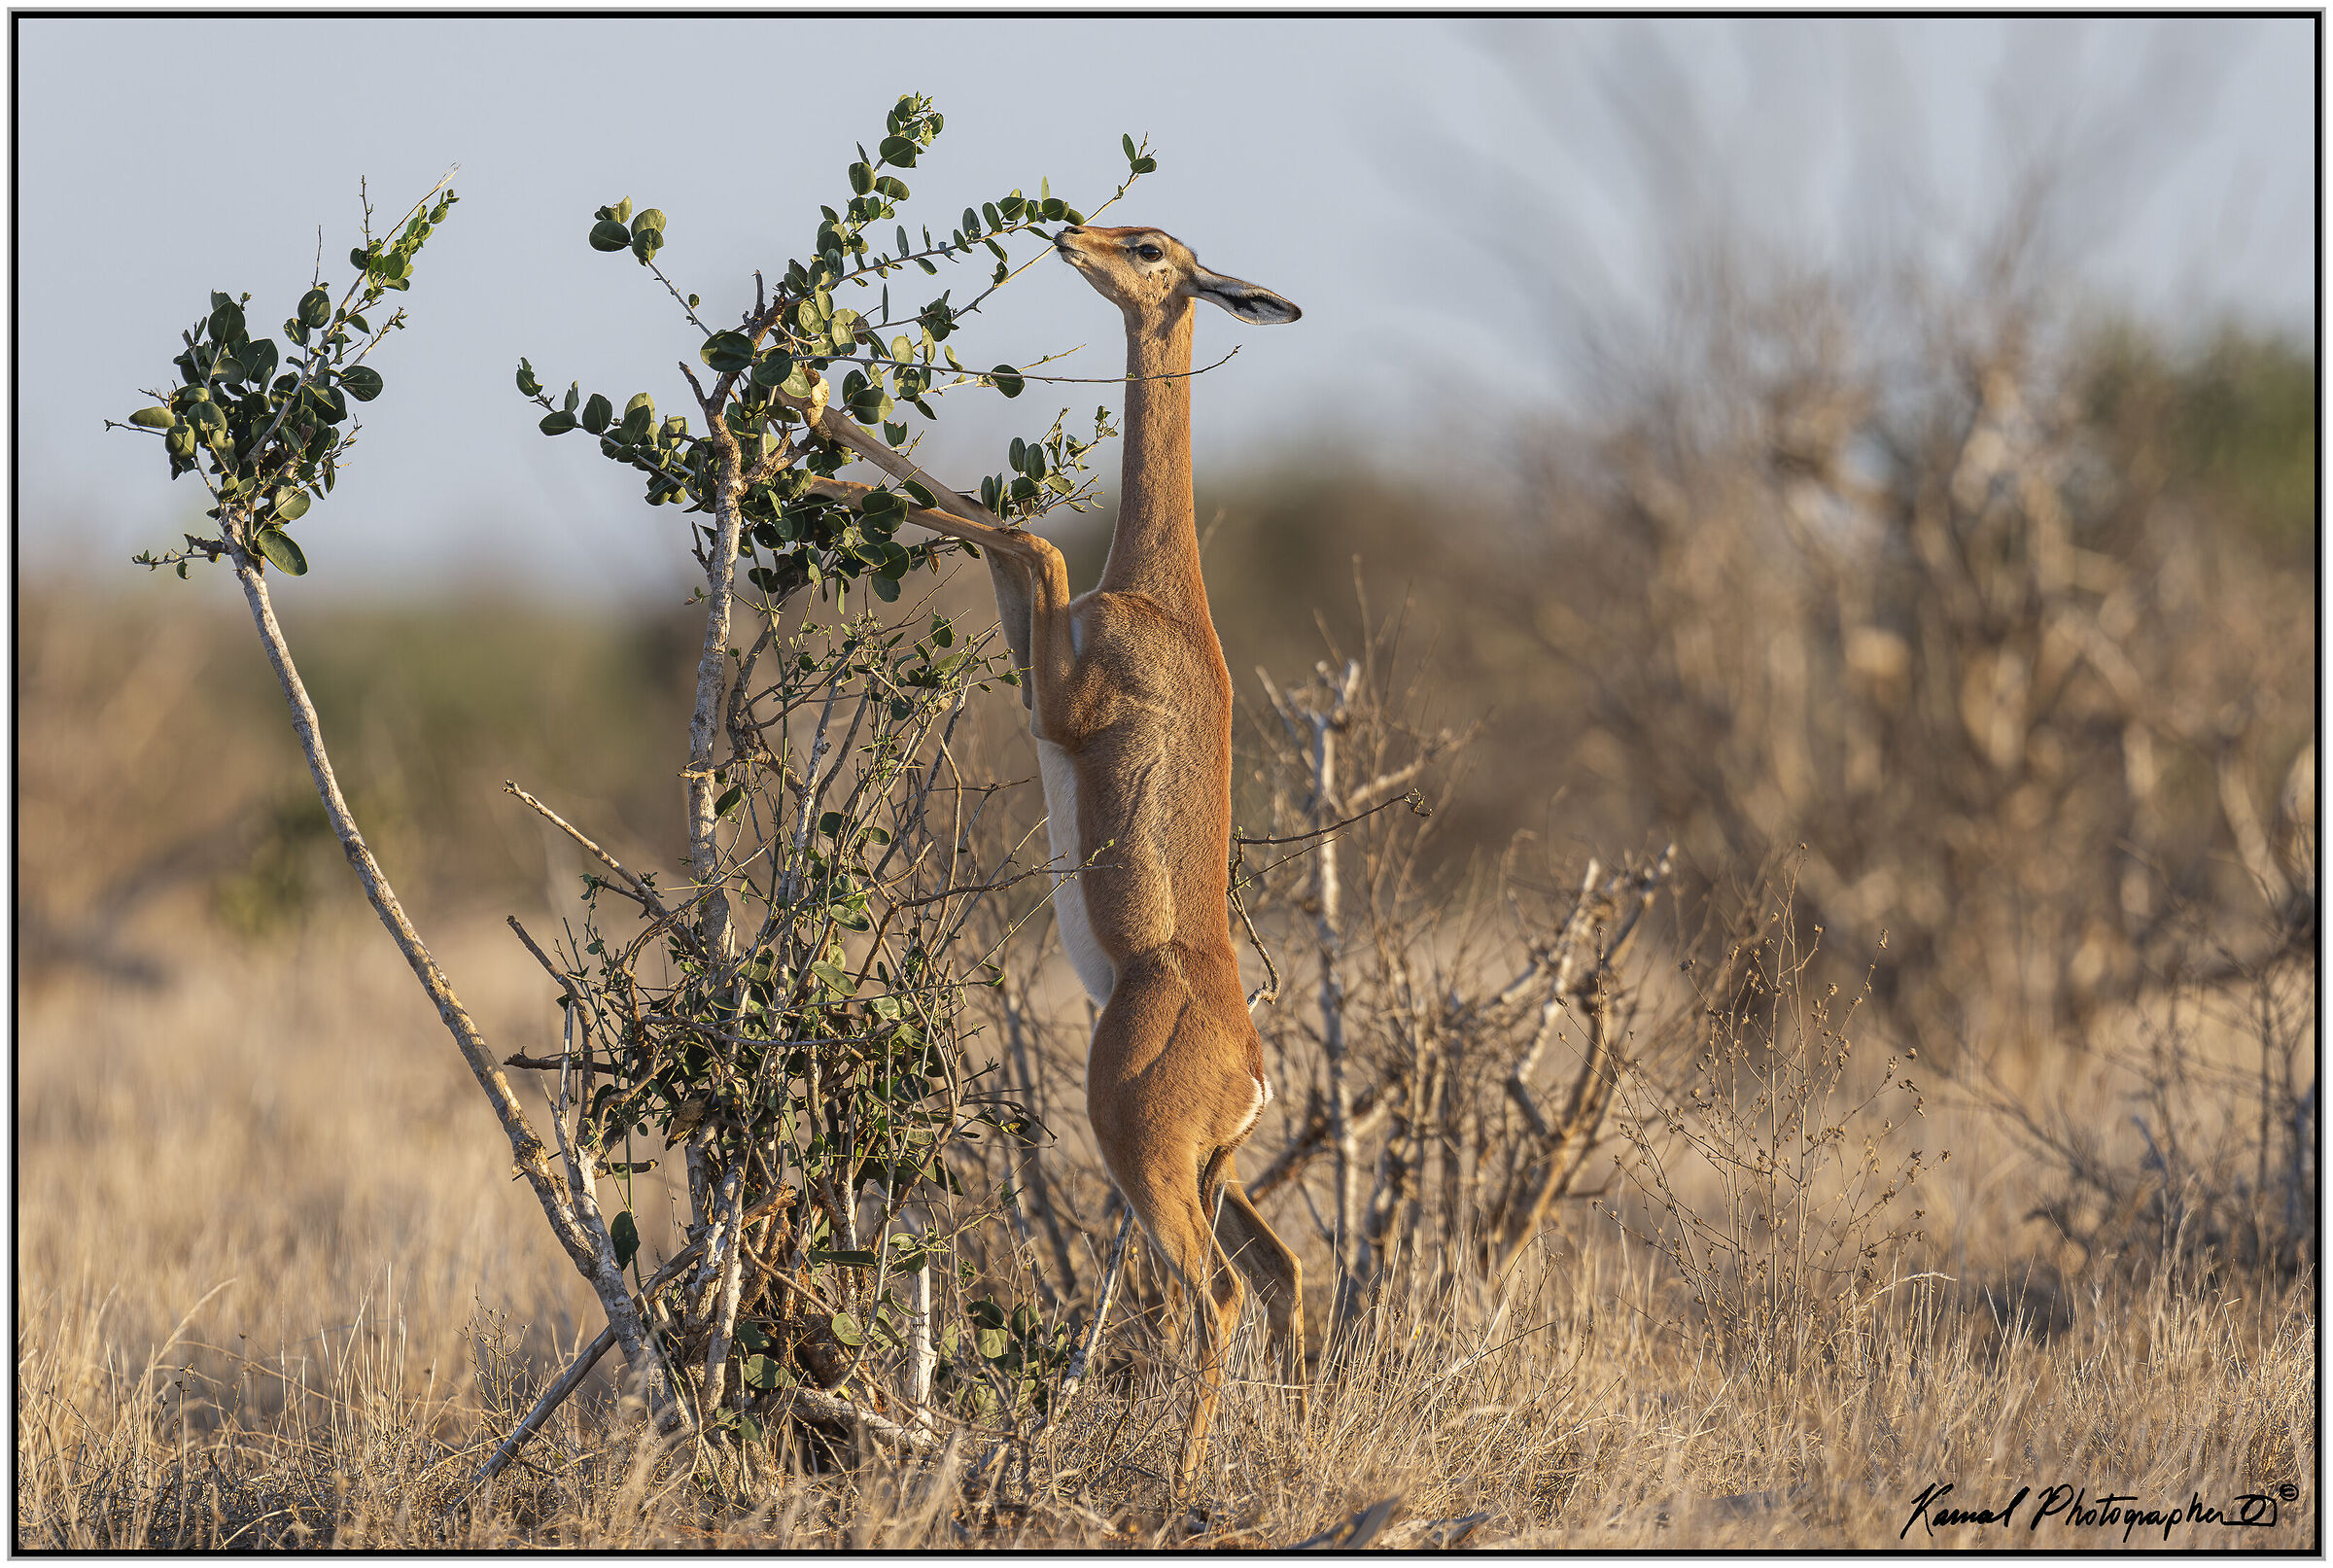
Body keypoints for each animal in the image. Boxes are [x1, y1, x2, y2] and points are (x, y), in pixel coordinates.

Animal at [799, 225, 1307, 1475]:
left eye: (1152, 247)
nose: (1070, 230)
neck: (1160, 594)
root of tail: (1252, 1069)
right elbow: (981, 510)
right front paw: (808, 409)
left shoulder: (1059, 700)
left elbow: (1023, 533)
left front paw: (807, 426)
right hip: (1217, 1176)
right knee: (1285, 1275)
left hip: (1147, 1160)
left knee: (1221, 1296)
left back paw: (1182, 1479)